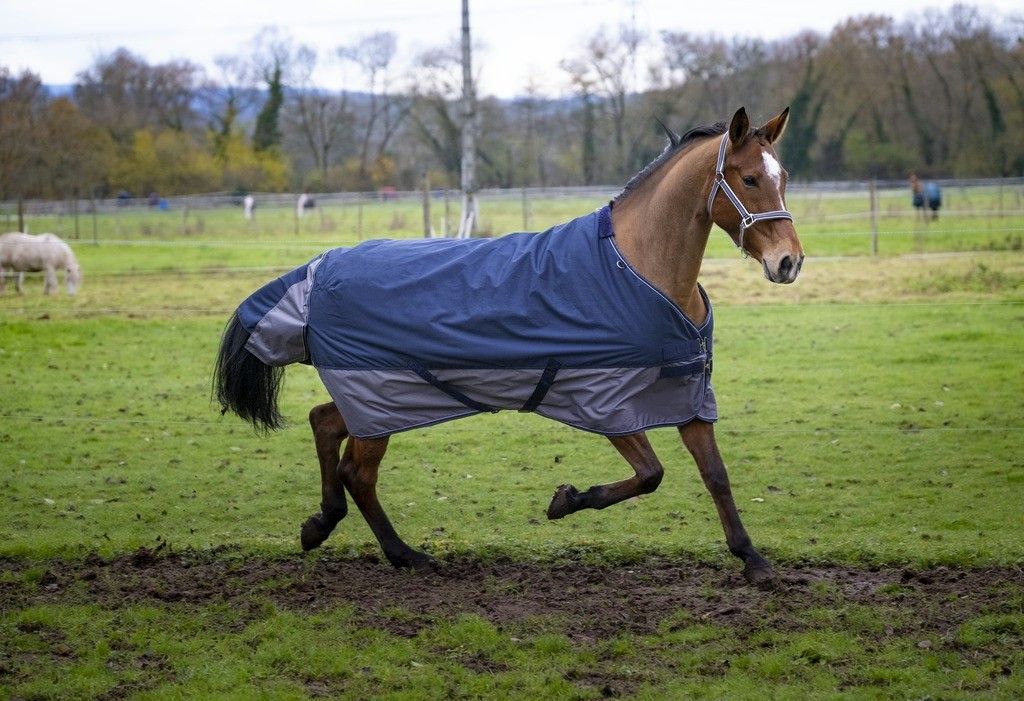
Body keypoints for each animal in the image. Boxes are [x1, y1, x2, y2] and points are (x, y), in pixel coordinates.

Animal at [215, 107, 804, 586]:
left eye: (784, 178)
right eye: (749, 177)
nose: (789, 262)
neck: (638, 271)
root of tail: (317, 268)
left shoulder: (687, 397)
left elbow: (716, 476)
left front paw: (752, 560)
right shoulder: (605, 402)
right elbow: (651, 474)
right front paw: (565, 501)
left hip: (380, 398)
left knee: (323, 423)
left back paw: (321, 524)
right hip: (380, 400)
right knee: (357, 472)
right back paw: (405, 555)